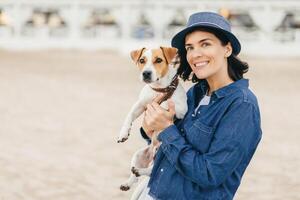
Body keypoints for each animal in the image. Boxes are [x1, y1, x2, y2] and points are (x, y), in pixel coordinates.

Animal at [118, 46, 188, 191]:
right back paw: (128, 182)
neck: (158, 89)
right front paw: (123, 134)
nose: (146, 73)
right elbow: (129, 116)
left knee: (151, 171)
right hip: (138, 155)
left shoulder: (182, 109)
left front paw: (162, 102)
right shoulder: (140, 104)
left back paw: (141, 171)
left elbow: (165, 103)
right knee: (136, 175)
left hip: (163, 152)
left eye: (159, 60)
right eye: (142, 60)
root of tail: (151, 157)